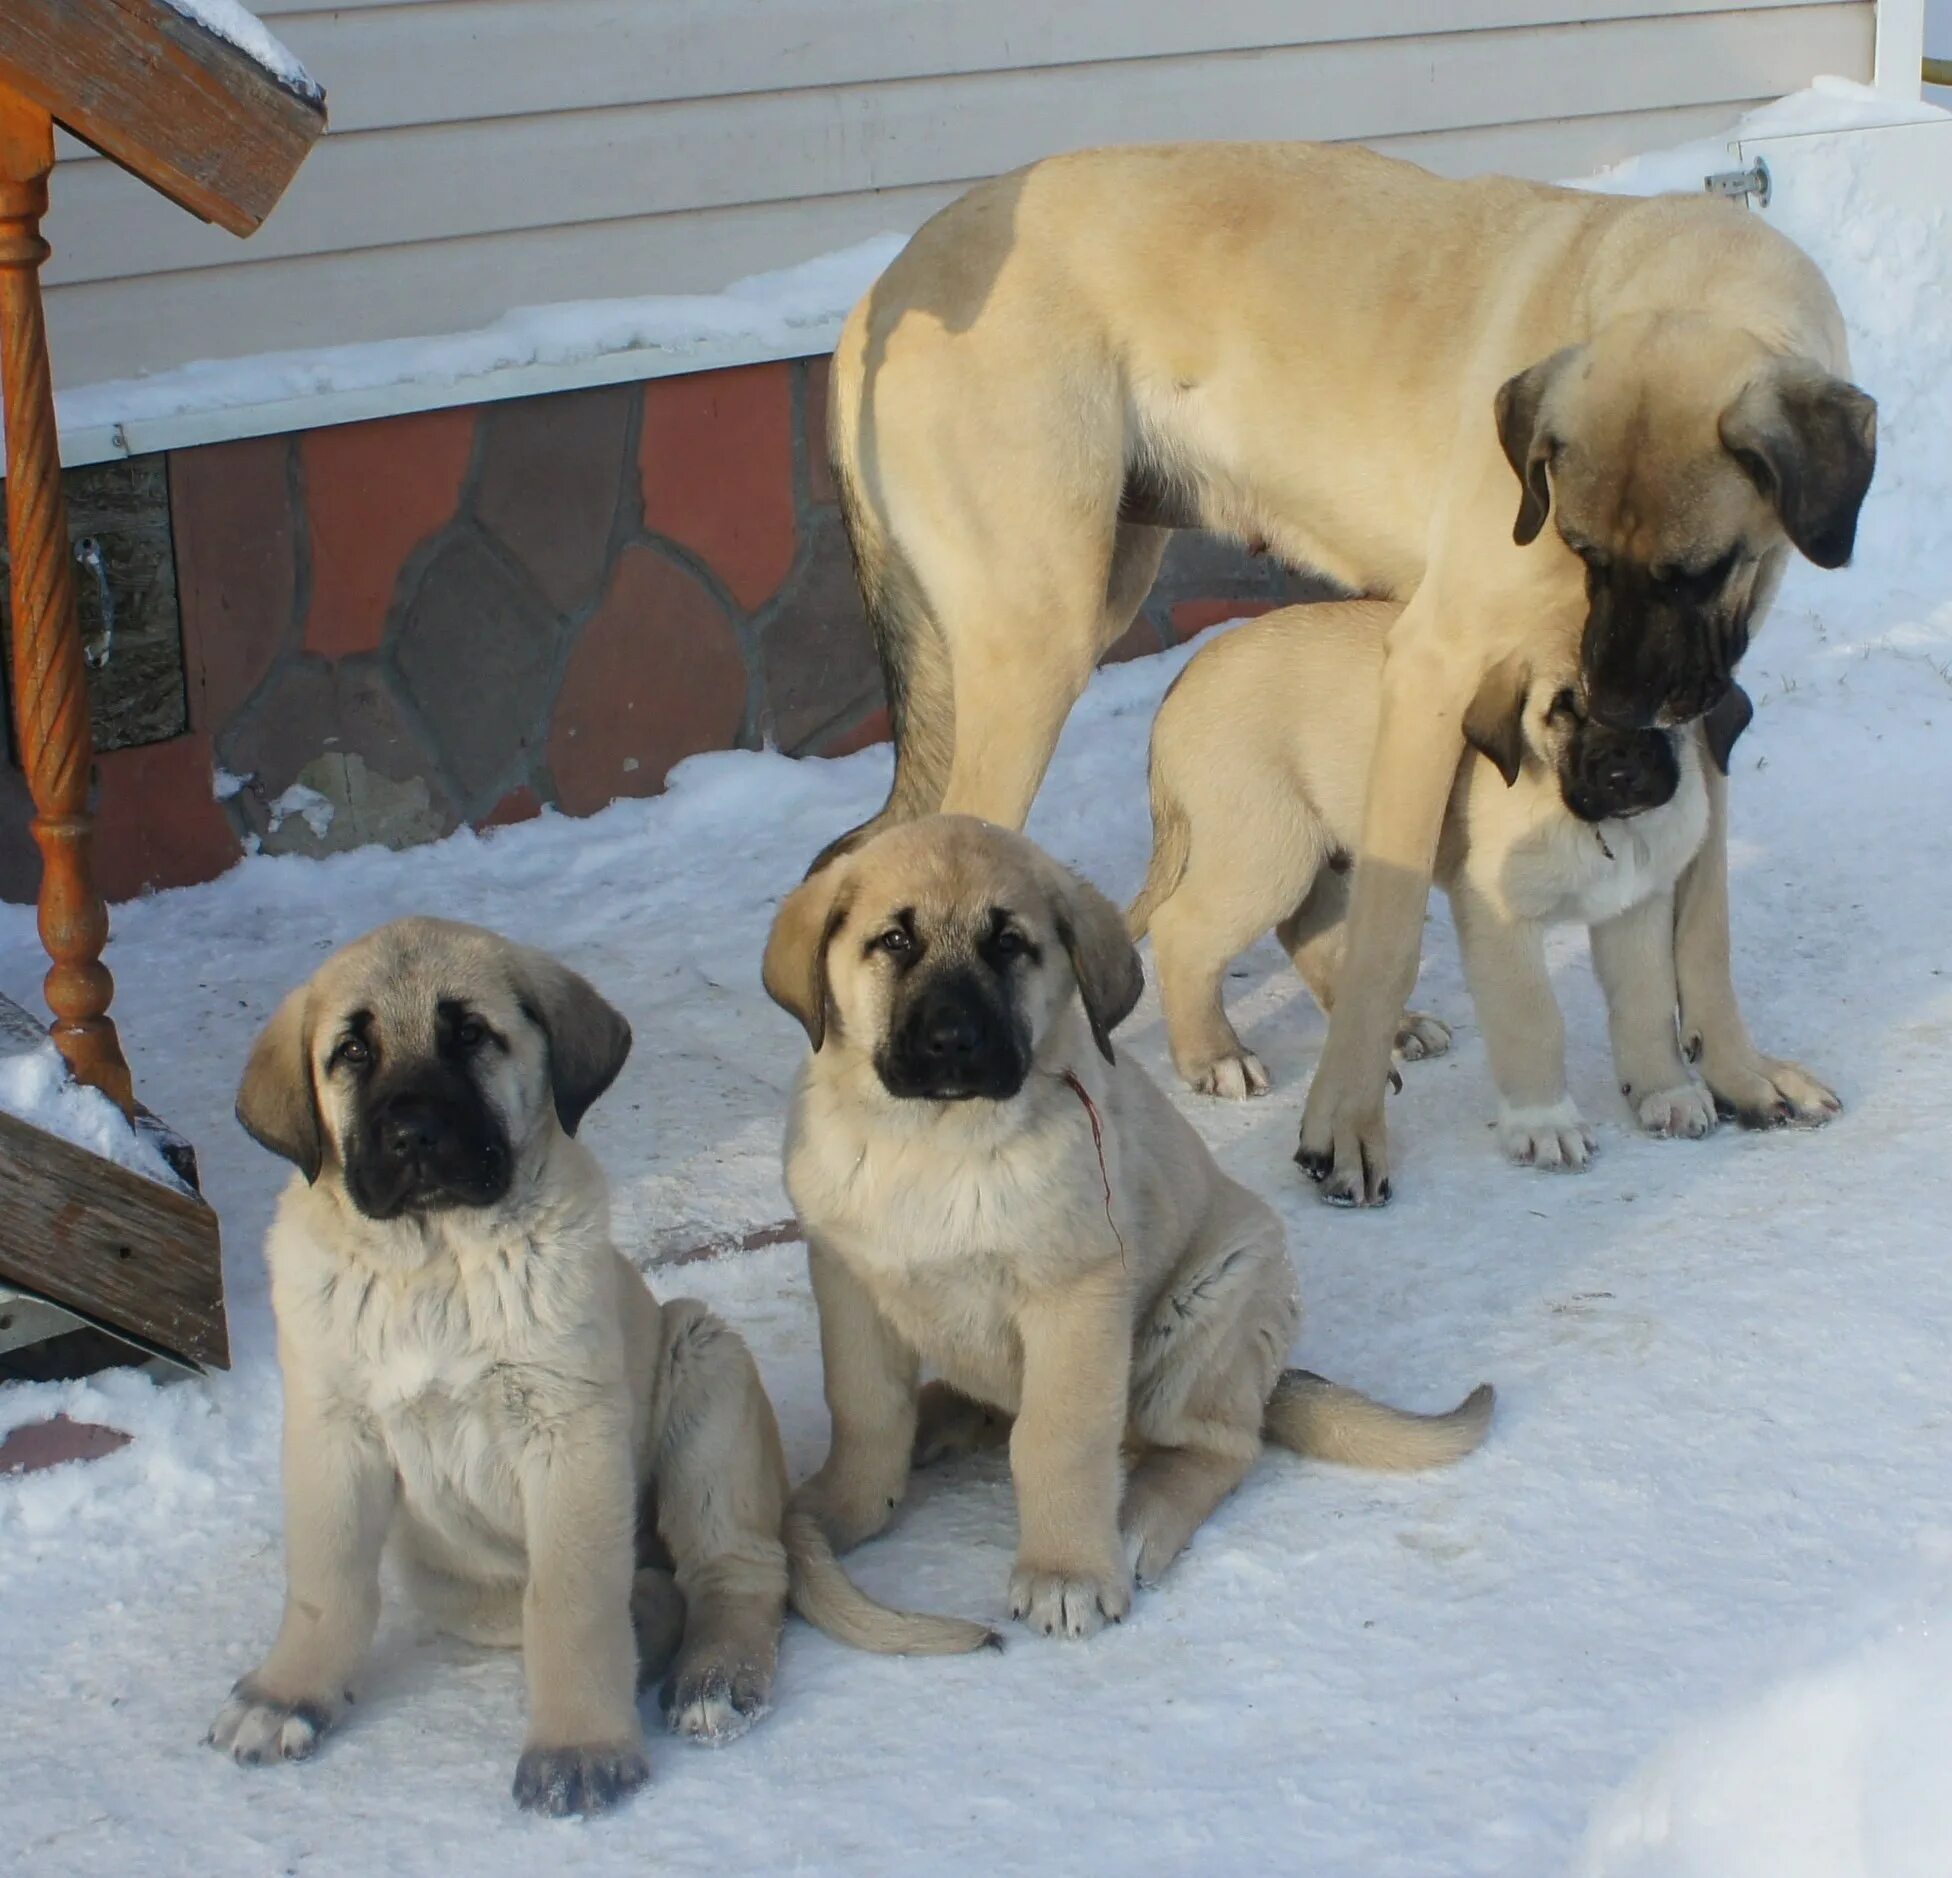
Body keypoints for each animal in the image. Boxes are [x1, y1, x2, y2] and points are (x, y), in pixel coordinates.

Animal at [209, 913, 991, 1811]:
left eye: (469, 1035)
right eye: (351, 1053)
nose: (413, 1137)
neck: (436, 1263)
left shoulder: (568, 1432)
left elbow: (570, 1601)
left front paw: (578, 1747)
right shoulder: (333, 1429)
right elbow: (325, 1580)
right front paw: (286, 1695)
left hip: (705, 1367)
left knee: (738, 1568)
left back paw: (714, 1677)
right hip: (447, 1568)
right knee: (575, 1595)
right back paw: (649, 1616)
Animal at [765, 812, 1491, 1632]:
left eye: (1008, 944)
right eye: (894, 941)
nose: (954, 1041)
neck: (932, 1144)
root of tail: (1266, 1381)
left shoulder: (1074, 1298)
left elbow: (1058, 1438)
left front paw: (1067, 1572)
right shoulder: (849, 1283)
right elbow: (865, 1410)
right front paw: (843, 1510)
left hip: (1212, 1304)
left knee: (1219, 1445)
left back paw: (1140, 1519)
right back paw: (943, 1418)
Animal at [1132, 593, 1788, 1163]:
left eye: (1661, 705)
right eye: (1563, 708)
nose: (1622, 771)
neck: (1604, 833)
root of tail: (1184, 678)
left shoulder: (1636, 907)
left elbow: (1647, 1004)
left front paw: (1664, 1092)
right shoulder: (1498, 915)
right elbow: (1532, 1018)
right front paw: (1546, 1124)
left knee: (1315, 933)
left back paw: (1396, 1027)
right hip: (1268, 851)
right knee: (1181, 931)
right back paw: (1215, 1057)